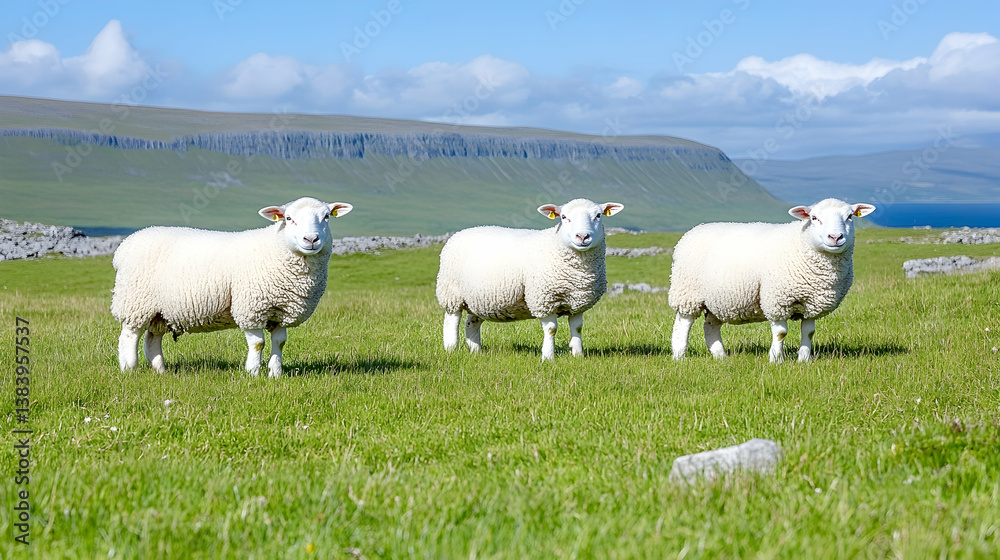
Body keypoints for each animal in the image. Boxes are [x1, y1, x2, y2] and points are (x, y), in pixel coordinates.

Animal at [110, 197, 353, 377]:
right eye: (289, 218)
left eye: (326, 216)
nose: (311, 239)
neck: (276, 248)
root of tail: (124, 247)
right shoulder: (251, 307)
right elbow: (258, 344)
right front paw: (253, 373)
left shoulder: (281, 311)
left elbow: (280, 343)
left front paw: (276, 374)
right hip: (135, 301)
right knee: (129, 336)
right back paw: (129, 369)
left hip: (160, 310)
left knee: (153, 338)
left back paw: (161, 370)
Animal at [436, 198, 624, 361]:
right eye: (564, 217)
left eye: (598, 215)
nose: (582, 236)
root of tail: (461, 232)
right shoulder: (543, 300)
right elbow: (551, 330)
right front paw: (548, 357)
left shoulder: (577, 303)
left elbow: (577, 328)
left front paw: (578, 356)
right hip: (451, 293)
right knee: (452, 321)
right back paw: (451, 349)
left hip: (480, 299)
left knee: (472, 322)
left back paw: (475, 350)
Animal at [668, 198, 875, 363]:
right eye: (814, 218)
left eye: (850, 217)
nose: (835, 237)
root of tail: (696, 228)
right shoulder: (777, 300)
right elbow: (781, 333)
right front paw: (776, 359)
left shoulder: (811, 304)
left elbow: (808, 332)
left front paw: (804, 360)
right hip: (687, 293)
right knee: (683, 324)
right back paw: (679, 356)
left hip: (717, 299)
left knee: (710, 326)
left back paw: (720, 356)